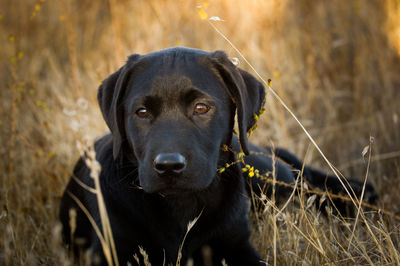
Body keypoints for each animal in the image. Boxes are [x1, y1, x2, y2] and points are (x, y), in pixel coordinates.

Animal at [58, 46, 376, 264]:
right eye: (142, 112)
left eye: (201, 108)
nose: (169, 166)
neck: (181, 207)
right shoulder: (113, 250)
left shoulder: (236, 245)